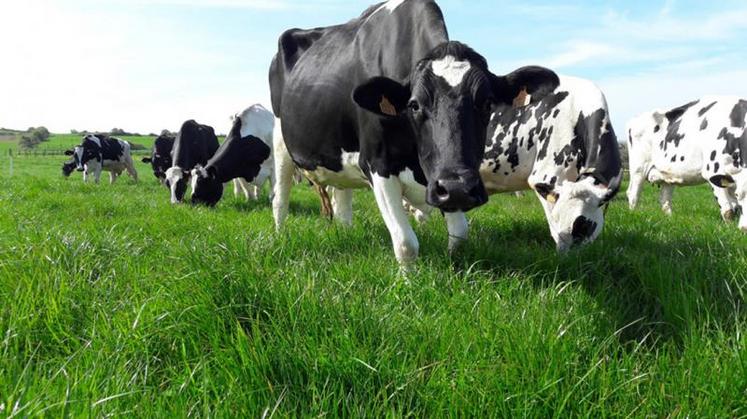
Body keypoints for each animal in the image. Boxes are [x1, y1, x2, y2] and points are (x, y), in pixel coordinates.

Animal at [272, 0, 560, 264]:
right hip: (281, 143)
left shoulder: (441, 180)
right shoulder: (377, 164)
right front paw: (407, 282)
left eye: (488, 103)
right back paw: (280, 238)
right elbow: (405, 243)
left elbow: (460, 235)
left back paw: (346, 235)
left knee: (342, 202)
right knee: (279, 198)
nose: (458, 186)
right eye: (414, 105)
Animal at [628, 97, 744, 230]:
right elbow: (728, 210)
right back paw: (633, 214)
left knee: (664, 199)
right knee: (633, 194)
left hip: (666, 173)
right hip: (638, 168)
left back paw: (670, 220)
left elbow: (735, 206)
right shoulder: (713, 173)